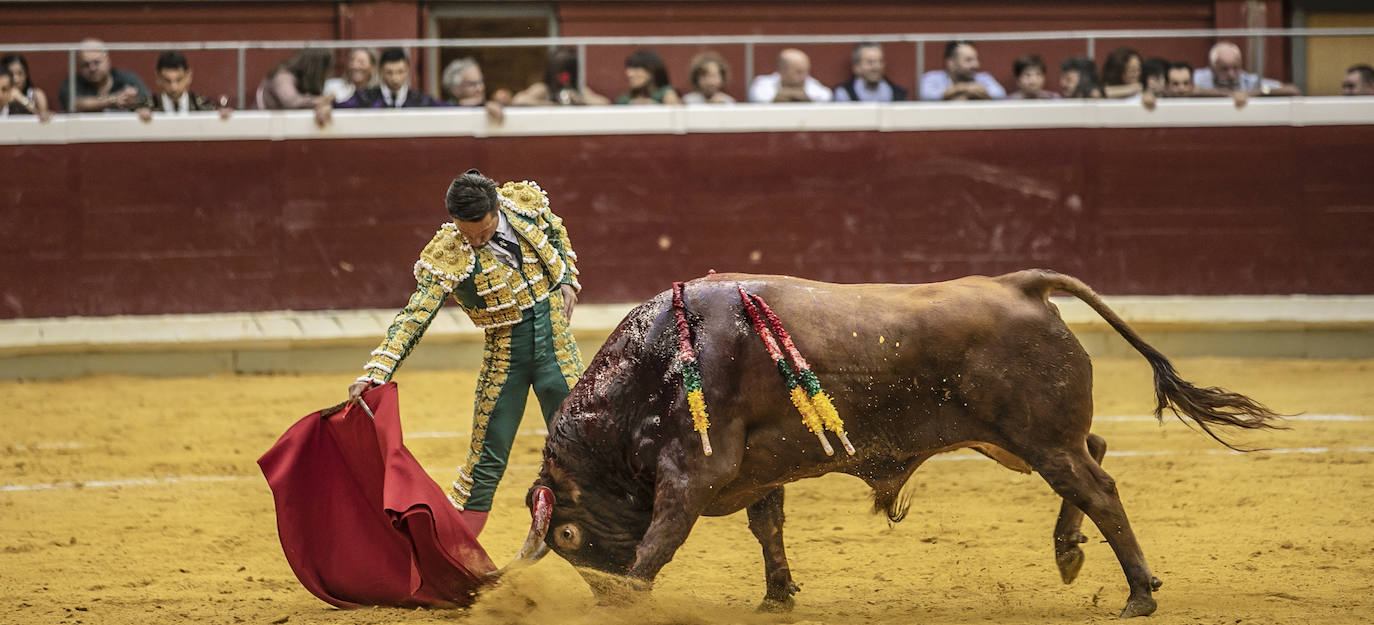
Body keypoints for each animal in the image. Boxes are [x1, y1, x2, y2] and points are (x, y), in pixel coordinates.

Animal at [500, 271, 1280, 618]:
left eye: (566, 533)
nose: (599, 596)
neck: (658, 364)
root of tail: (1020, 284)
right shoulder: (753, 473)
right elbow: (767, 528)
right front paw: (777, 596)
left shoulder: (693, 475)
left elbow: (658, 543)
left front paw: (627, 600)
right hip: (1031, 439)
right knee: (1098, 452)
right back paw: (1068, 552)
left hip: (1036, 437)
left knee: (1098, 487)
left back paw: (1138, 593)